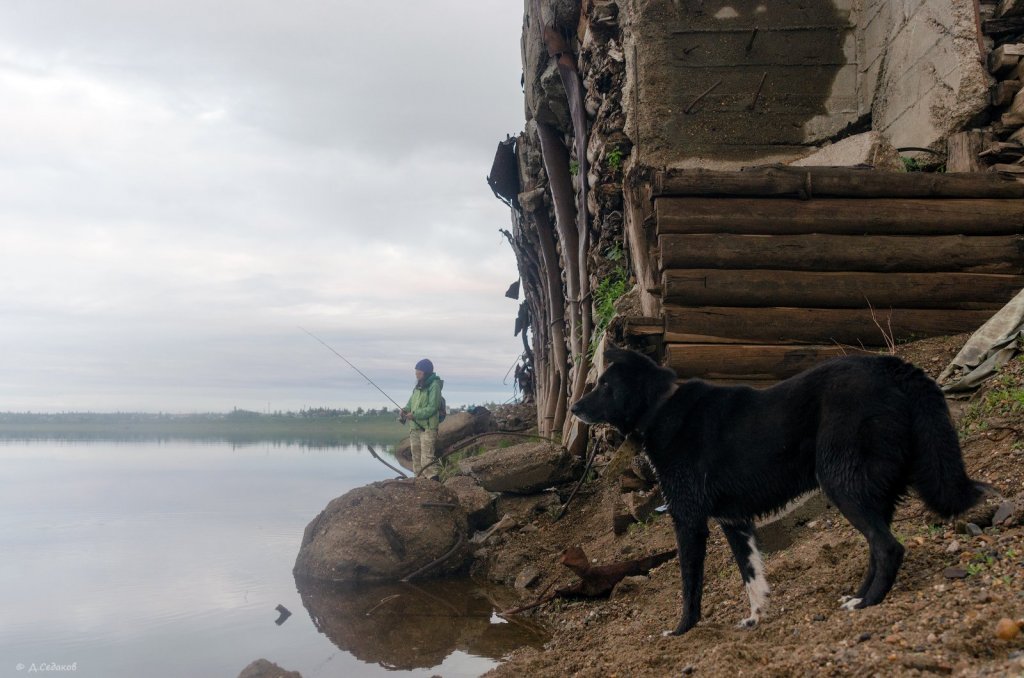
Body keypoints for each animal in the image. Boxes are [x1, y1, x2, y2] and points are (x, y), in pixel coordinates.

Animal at [573, 350, 987, 639]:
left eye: (604, 386)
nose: (575, 407)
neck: (661, 406)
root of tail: (891, 366)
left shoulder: (688, 521)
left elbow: (690, 585)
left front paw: (681, 630)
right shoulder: (734, 521)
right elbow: (752, 576)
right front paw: (756, 618)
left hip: (842, 483)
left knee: (888, 547)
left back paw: (867, 602)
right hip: (869, 489)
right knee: (877, 545)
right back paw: (856, 595)